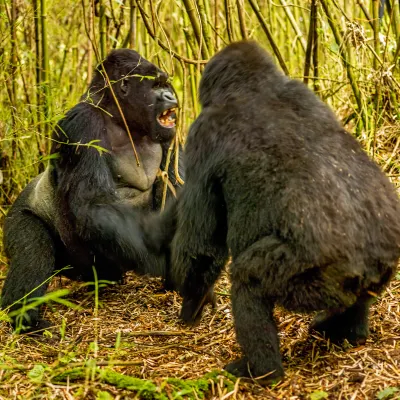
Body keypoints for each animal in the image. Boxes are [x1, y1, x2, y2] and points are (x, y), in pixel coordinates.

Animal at [0, 49, 183, 332]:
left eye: (165, 84)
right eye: (155, 86)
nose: (171, 96)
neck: (118, 117)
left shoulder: (169, 137)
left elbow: (174, 187)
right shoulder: (82, 126)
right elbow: (93, 205)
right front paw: (162, 263)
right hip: (16, 217)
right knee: (32, 254)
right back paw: (25, 317)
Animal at [169, 40, 400, 384]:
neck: (254, 86)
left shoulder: (201, 135)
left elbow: (202, 247)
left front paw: (192, 302)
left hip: (309, 276)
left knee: (247, 278)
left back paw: (262, 370)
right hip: (380, 268)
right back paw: (347, 329)